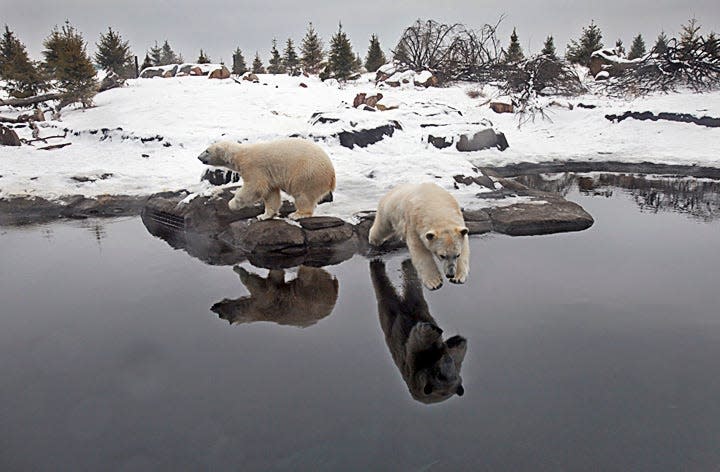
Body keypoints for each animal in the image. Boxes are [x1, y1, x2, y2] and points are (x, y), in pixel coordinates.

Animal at [198, 137, 336, 220]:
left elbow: (255, 187)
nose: (199, 157)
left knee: (302, 195)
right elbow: (271, 193)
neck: (240, 155)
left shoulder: (253, 167)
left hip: (307, 173)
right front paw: (264, 215)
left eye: (207, 150)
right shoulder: (268, 176)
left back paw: (296, 214)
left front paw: (231, 204)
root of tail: (331, 175)